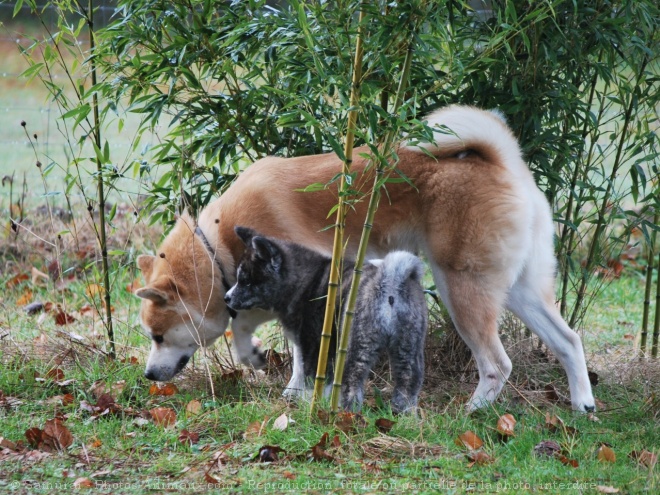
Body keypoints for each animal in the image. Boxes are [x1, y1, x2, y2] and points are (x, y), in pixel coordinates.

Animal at [223, 229, 428, 414]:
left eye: (247, 281)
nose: (226, 298)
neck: (301, 280)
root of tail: (390, 279)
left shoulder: (314, 343)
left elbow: (310, 377)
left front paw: (309, 405)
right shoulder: (308, 344)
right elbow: (300, 371)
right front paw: (294, 397)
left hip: (357, 345)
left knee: (352, 384)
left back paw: (345, 414)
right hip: (408, 345)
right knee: (409, 381)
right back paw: (404, 417)